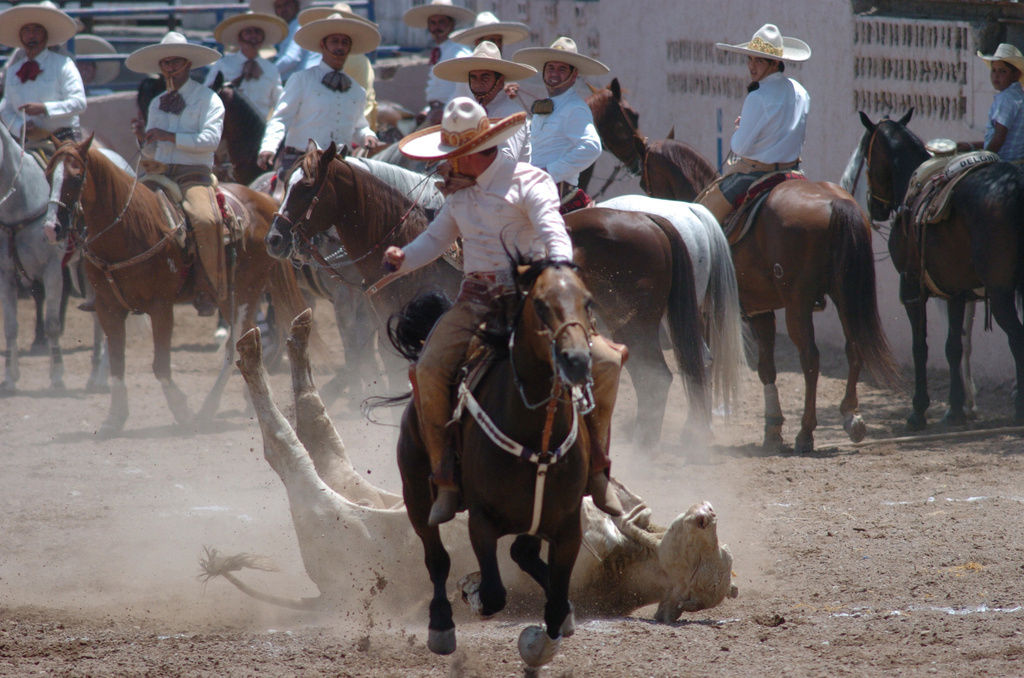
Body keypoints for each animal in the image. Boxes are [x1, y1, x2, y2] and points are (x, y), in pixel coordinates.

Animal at [44, 135, 305, 438]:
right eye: (48, 175)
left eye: (76, 177)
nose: (51, 228)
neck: (130, 230)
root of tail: (265, 202)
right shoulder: (108, 309)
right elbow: (118, 365)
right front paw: (115, 418)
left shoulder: (160, 307)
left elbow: (160, 366)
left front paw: (183, 411)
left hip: (242, 294)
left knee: (235, 346)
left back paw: (210, 408)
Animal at [266, 142, 712, 446]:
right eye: (285, 183)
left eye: (306, 187)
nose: (274, 239)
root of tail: (650, 219)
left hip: (636, 325)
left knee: (656, 380)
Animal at [391, 260, 598, 667]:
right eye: (541, 305)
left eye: (586, 301)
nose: (577, 359)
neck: (536, 436)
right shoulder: (482, 521)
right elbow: (492, 592)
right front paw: (470, 592)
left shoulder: (568, 526)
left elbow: (552, 606)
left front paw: (545, 637)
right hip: (416, 495)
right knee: (436, 558)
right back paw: (441, 625)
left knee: (523, 553)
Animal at [856, 111, 1024, 430]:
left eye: (865, 156)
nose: (874, 206)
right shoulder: (956, 291)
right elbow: (953, 347)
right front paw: (955, 409)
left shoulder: (911, 288)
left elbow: (920, 347)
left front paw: (918, 411)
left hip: (1000, 293)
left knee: (1017, 336)